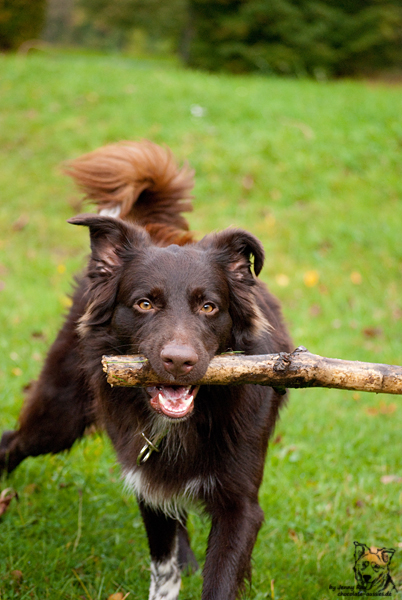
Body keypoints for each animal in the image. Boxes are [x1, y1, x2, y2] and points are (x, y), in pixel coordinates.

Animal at [1, 142, 294, 600]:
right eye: (144, 303)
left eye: (208, 306)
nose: (179, 361)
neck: (187, 422)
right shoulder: (147, 479)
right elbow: (163, 568)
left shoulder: (241, 503)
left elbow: (216, 576)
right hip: (60, 414)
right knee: (10, 442)